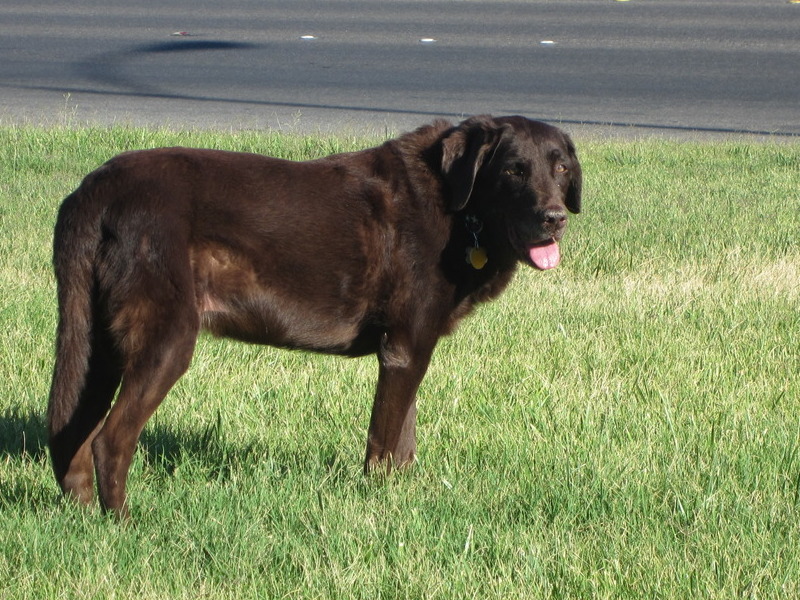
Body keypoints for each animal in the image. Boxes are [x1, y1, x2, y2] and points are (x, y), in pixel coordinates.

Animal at [47, 116, 580, 516]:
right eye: (513, 171)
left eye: (559, 168)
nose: (555, 218)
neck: (458, 206)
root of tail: (95, 190)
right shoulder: (405, 348)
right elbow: (384, 441)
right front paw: (380, 502)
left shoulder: (409, 348)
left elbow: (403, 436)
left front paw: (404, 494)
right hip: (167, 337)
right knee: (110, 441)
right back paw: (125, 523)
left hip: (96, 341)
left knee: (70, 433)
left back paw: (83, 518)